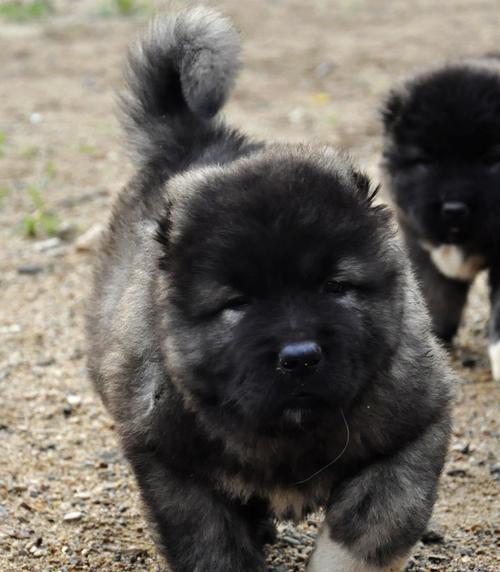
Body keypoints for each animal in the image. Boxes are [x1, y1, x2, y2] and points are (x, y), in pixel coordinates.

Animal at [88, 8, 456, 572]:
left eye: (334, 286)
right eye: (238, 304)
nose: (300, 357)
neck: (288, 432)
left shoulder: (414, 428)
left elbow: (377, 522)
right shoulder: (172, 467)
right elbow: (212, 546)